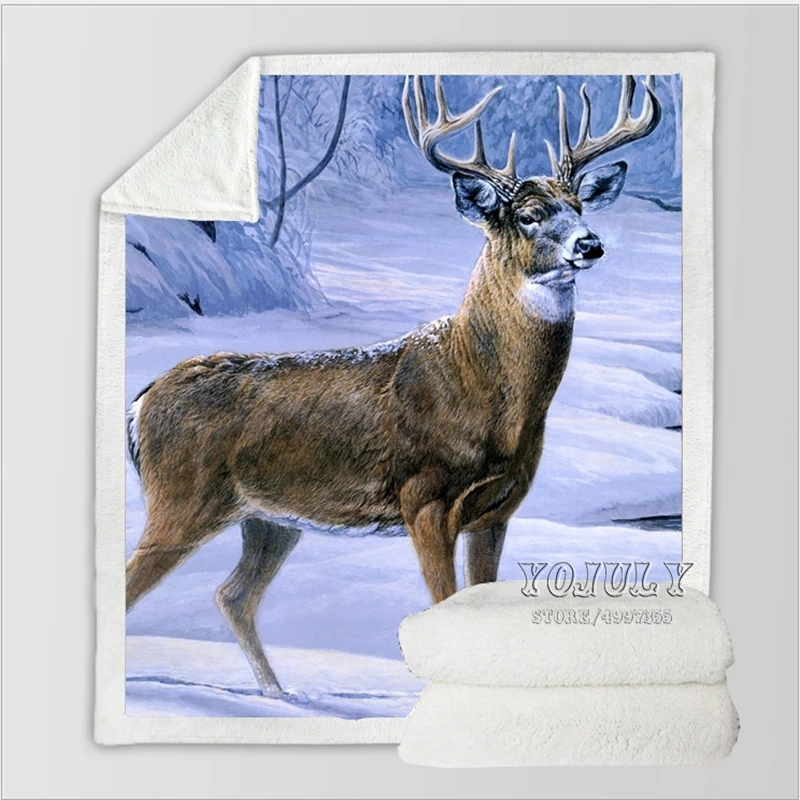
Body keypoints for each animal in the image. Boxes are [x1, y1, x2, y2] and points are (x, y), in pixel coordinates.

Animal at [125, 75, 661, 698]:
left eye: (577, 206)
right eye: (528, 215)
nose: (590, 244)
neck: (485, 392)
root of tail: (139, 403)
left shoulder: (497, 511)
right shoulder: (422, 497)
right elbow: (443, 603)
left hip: (269, 519)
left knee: (233, 594)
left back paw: (279, 694)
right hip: (181, 498)